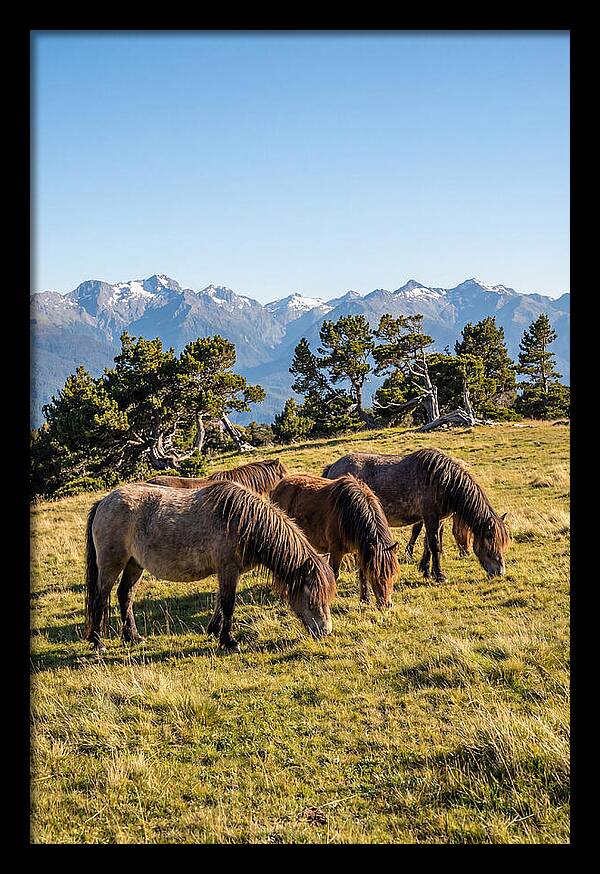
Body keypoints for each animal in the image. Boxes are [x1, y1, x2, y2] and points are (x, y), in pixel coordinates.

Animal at [84, 480, 336, 654]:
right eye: (312, 598)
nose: (325, 631)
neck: (243, 522)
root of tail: (104, 502)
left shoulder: (228, 572)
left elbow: (219, 602)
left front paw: (214, 631)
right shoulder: (228, 569)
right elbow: (228, 603)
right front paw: (229, 641)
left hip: (134, 565)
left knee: (125, 595)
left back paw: (133, 637)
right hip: (111, 564)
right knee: (100, 597)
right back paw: (98, 642)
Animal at [271, 473, 399, 608]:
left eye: (392, 573)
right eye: (375, 574)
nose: (386, 604)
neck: (349, 512)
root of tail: (279, 485)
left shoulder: (360, 550)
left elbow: (362, 574)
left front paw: (365, 599)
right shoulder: (336, 550)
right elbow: (335, 574)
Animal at [323, 448, 509, 583]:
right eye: (491, 541)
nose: (500, 572)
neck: (442, 480)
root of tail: (333, 466)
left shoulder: (437, 520)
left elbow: (429, 544)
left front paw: (426, 570)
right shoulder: (430, 516)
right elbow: (434, 544)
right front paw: (439, 575)